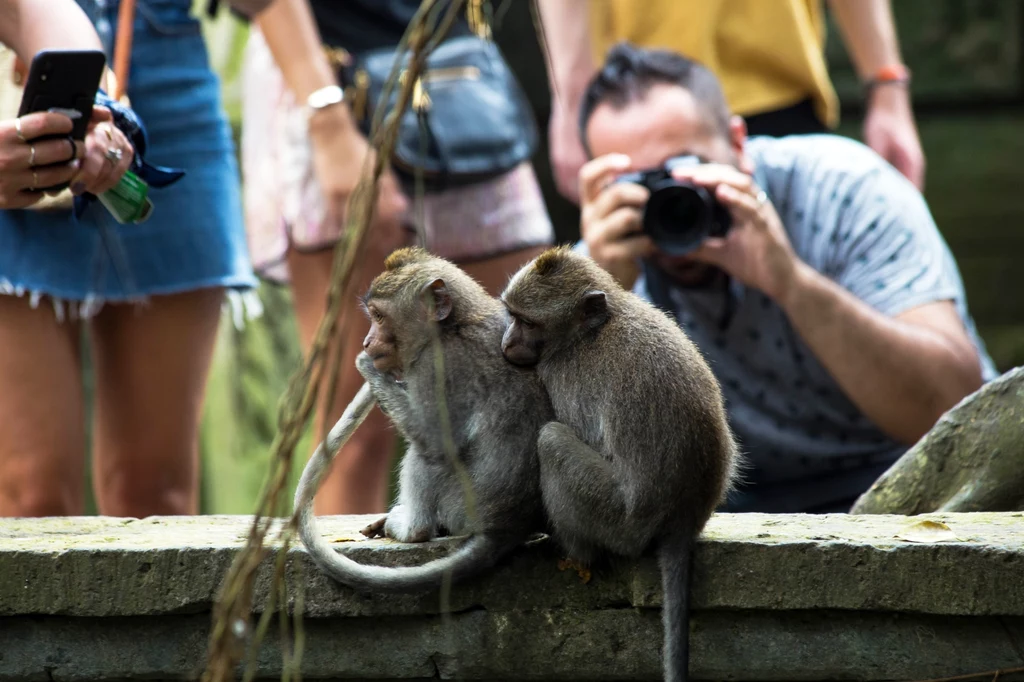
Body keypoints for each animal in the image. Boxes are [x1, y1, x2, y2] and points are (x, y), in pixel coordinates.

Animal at [292, 245, 557, 589]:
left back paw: (411, 528)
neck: (456, 323)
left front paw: (367, 366)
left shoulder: (433, 365)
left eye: (379, 316)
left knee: (426, 454)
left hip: (459, 505)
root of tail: (505, 528)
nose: (367, 342)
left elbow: (435, 442)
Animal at [499, 245, 741, 679]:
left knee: (551, 441)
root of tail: (685, 516)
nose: (507, 340)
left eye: (526, 322)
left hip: (619, 518)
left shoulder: (562, 374)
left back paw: (577, 553)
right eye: (511, 315)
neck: (591, 330)